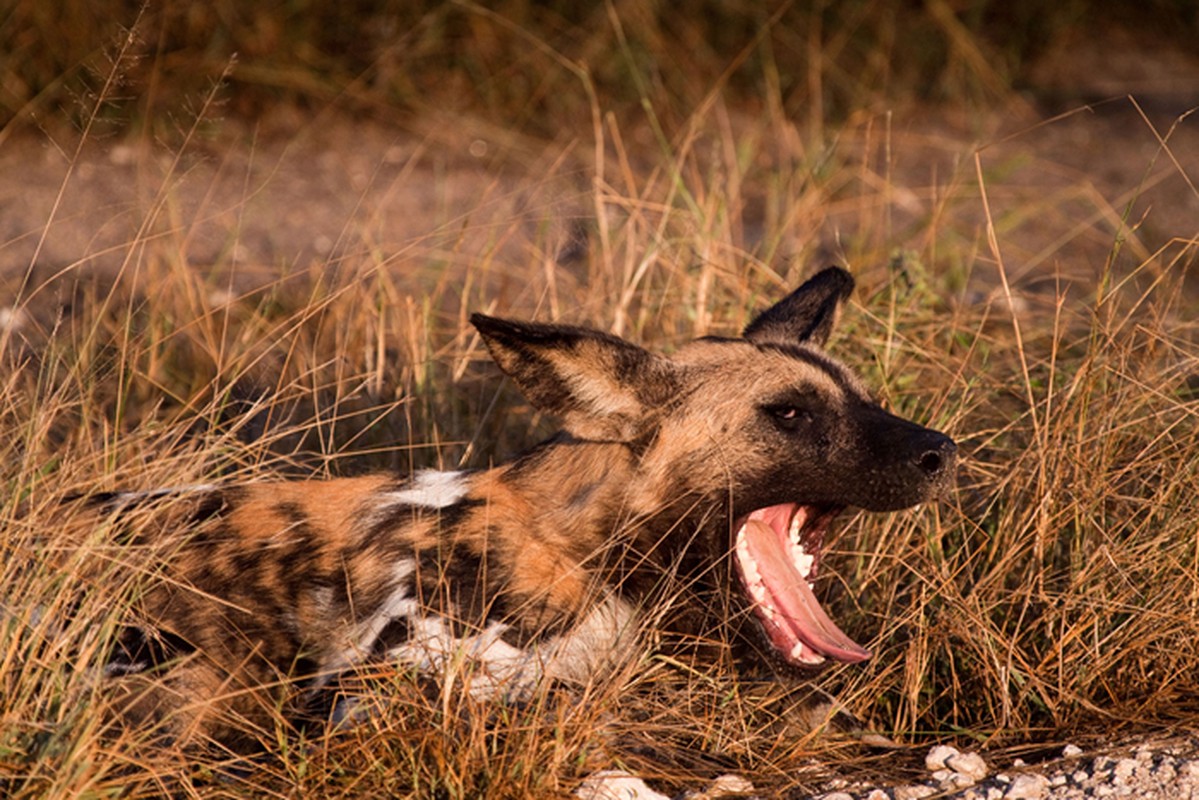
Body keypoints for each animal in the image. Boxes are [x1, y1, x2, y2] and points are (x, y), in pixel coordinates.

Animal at [86, 267, 954, 743]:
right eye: (789, 414)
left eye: (862, 399)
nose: (940, 452)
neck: (586, 566)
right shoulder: (357, 692)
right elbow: (545, 702)